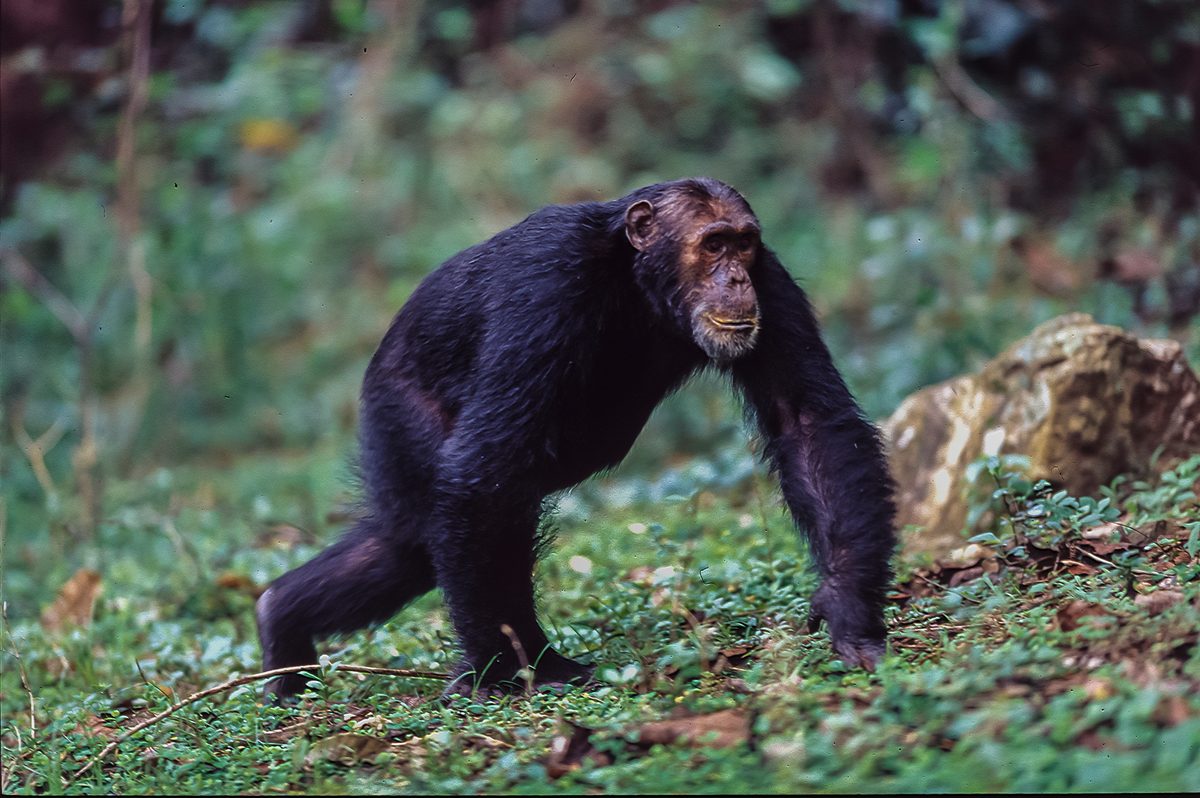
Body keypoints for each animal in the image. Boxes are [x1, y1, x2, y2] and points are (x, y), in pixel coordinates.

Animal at [256, 177, 897, 698]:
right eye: (713, 244)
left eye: (743, 244)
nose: (735, 276)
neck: (637, 278)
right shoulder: (548, 284)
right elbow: (484, 469)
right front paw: (502, 672)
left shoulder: (773, 279)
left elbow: (806, 421)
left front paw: (846, 607)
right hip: (399, 414)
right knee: (469, 510)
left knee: (405, 546)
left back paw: (280, 621)